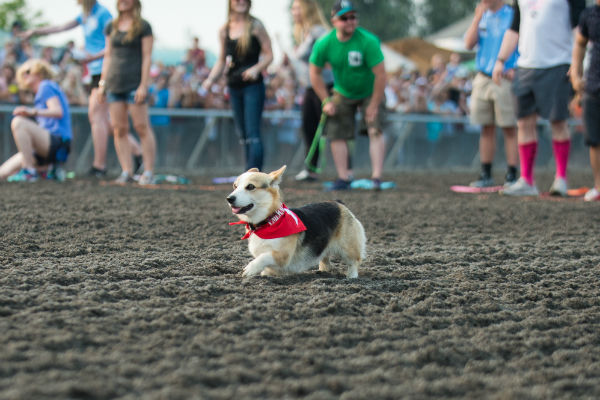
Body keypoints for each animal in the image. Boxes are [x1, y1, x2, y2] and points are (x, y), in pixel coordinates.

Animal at [226, 166, 364, 278]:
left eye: (250, 186)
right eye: (235, 186)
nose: (229, 198)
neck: (267, 222)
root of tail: (338, 203)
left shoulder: (282, 255)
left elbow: (264, 257)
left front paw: (250, 268)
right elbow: (267, 266)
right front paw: (266, 274)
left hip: (347, 248)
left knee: (354, 261)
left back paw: (351, 277)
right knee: (325, 260)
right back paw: (323, 271)